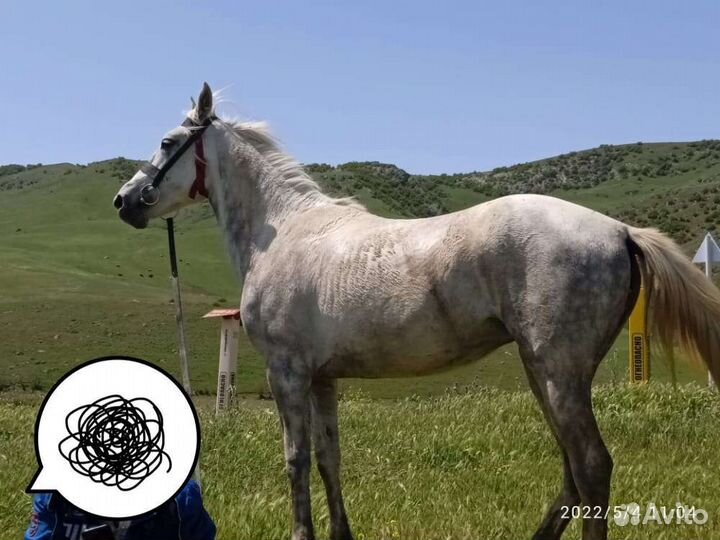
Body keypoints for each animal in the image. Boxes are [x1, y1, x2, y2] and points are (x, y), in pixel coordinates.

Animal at [114, 83, 720, 540]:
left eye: (167, 141)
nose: (124, 200)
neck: (284, 231)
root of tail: (619, 230)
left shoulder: (286, 373)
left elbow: (296, 460)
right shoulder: (322, 379)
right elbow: (330, 458)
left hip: (558, 373)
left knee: (591, 467)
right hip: (546, 373)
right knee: (573, 471)